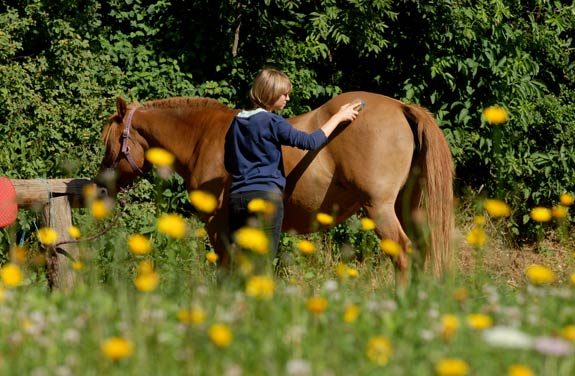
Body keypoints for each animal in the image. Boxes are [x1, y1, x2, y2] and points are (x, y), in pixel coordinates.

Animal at [98, 92, 454, 284]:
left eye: (111, 142)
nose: (101, 187)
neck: (203, 137)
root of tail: (401, 108)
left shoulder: (218, 225)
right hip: (408, 208)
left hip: (380, 209)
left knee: (403, 252)